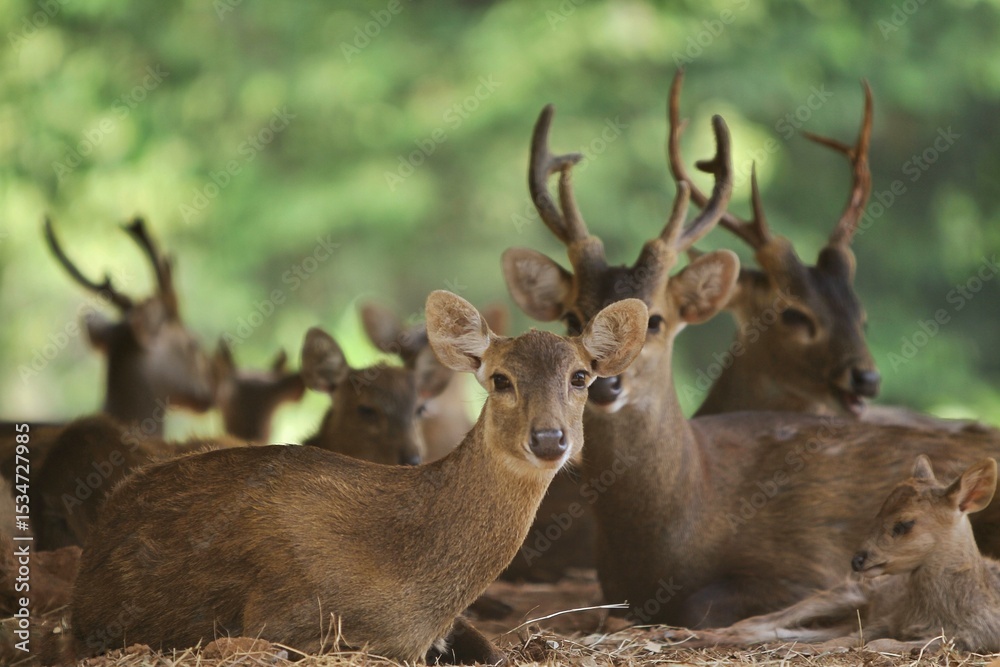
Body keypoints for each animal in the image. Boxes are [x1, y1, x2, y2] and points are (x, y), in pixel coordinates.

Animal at [671, 455, 1000, 654]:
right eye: (879, 510)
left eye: (904, 524)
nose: (858, 559)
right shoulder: (887, 617)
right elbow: (860, 639)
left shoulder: (974, 637)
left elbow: (875, 643)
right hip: (848, 592)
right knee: (759, 622)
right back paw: (679, 635)